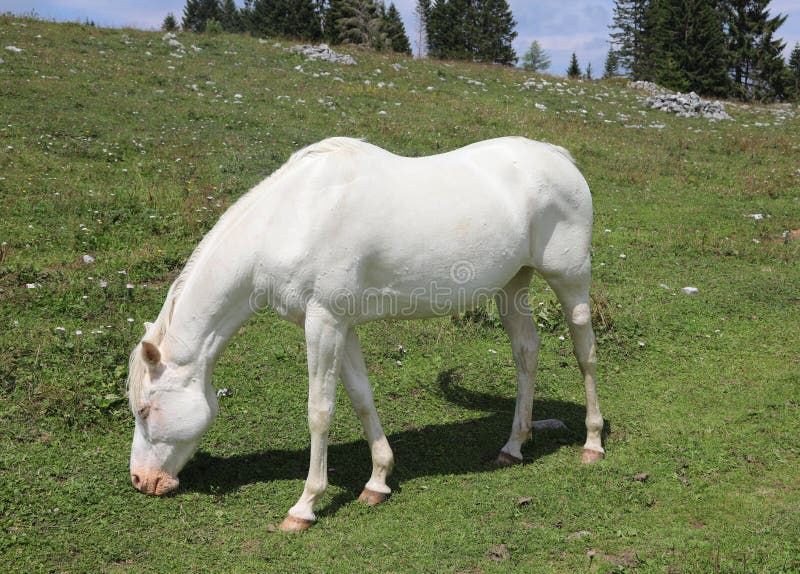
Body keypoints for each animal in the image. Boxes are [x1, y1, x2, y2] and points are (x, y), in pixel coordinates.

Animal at [128, 137, 604, 532]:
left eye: (146, 410)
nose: (141, 481)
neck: (290, 218)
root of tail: (559, 158)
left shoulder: (322, 323)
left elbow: (320, 411)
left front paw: (304, 507)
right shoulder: (342, 325)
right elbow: (360, 397)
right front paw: (378, 481)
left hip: (570, 280)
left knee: (585, 353)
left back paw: (592, 444)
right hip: (512, 286)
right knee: (526, 352)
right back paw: (513, 446)